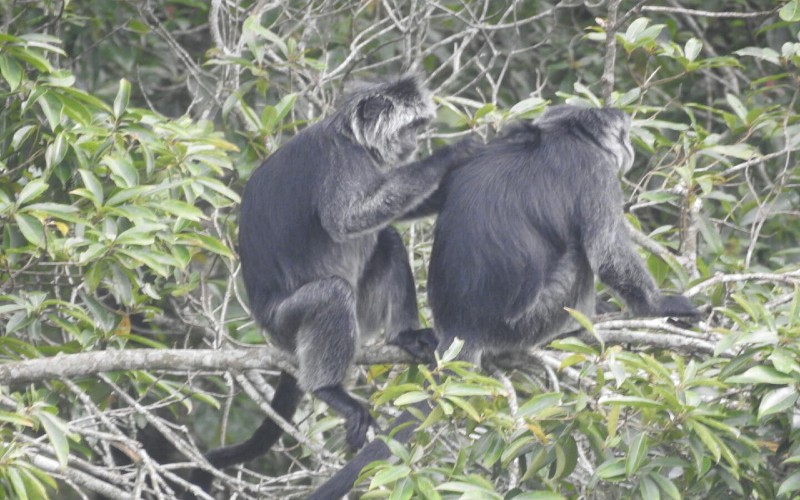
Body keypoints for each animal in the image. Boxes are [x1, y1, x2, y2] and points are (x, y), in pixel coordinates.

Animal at [186, 72, 476, 494]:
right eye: (411, 129)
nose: (414, 145)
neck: (352, 139)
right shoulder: (342, 161)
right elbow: (347, 219)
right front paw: (450, 155)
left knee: (388, 239)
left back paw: (403, 336)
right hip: (287, 321)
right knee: (332, 293)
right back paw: (328, 389)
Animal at [312, 103, 700, 498]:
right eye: (623, 137)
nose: (629, 149)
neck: (560, 134)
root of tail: (462, 328)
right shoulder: (594, 170)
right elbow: (607, 254)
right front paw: (659, 307)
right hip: (532, 320)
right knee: (580, 258)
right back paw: (580, 324)